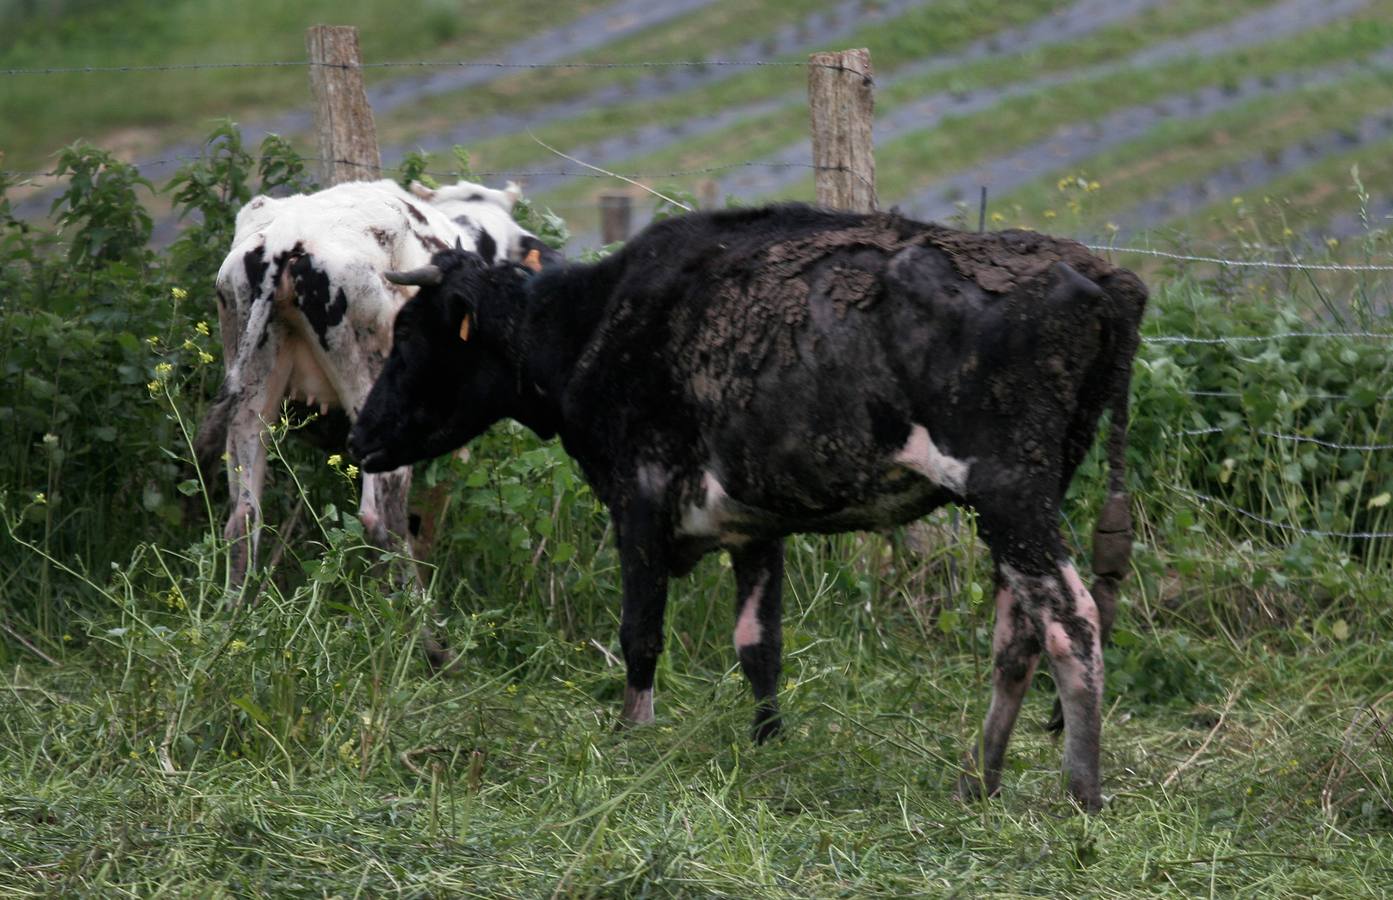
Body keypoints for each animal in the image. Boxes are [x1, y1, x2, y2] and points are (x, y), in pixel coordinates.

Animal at [193, 177, 559, 654]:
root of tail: (282, 241)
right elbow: (426, 521)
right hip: (374, 397)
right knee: (380, 517)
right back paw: (427, 641)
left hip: (250, 392)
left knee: (244, 517)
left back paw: (232, 630)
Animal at [347, 204, 1147, 811]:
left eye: (409, 334)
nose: (358, 437)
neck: (595, 323)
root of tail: (1095, 269)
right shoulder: (754, 521)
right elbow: (759, 645)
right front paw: (767, 744)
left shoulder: (639, 492)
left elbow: (640, 632)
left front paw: (631, 738)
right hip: (1024, 496)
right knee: (1019, 632)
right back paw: (977, 781)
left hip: (1009, 491)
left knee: (1071, 619)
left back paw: (1081, 793)